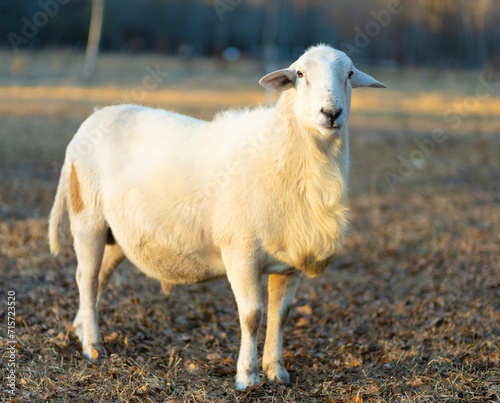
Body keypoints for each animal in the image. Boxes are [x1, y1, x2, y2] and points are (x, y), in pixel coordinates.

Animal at [48, 44, 384, 392]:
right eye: (300, 74)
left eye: (349, 74)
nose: (331, 113)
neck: (282, 154)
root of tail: (92, 120)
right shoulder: (240, 251)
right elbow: (252, 315)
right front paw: (247, 376)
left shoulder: (290, 262)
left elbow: (281, 316)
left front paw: (276, 371)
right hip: (88, 219)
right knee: (85, 278)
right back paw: (92, 347)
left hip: (118, 235)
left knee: (98, 279)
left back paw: (81, 329)